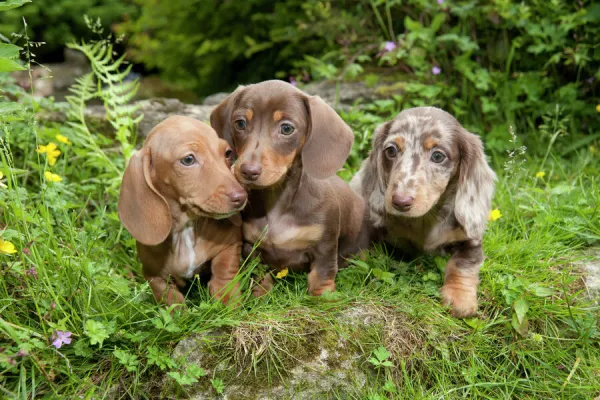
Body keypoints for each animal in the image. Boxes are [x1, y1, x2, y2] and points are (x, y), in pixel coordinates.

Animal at [118, 115, 247, 306]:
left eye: (227, 153)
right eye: (188, 160)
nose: (241, 196)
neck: (185, 228)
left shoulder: (231, 243)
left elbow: (224, 269)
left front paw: (227, 298)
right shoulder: (153, 275)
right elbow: (168, 296)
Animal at [213, 79, 368, 296]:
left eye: (286, 128)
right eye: (240, 123)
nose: (248, 171)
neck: (276, 202)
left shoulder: (325, 247)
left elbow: (321, 276)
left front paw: (324, 297)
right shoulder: (251, 247)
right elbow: (260, 277)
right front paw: (260, 295)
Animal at [350, 107, 494, 318]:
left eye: (438, 156)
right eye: (391, 150)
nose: (400, 202)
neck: (425, 219)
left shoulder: (470, 239)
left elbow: (462, 263)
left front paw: (460, 298)